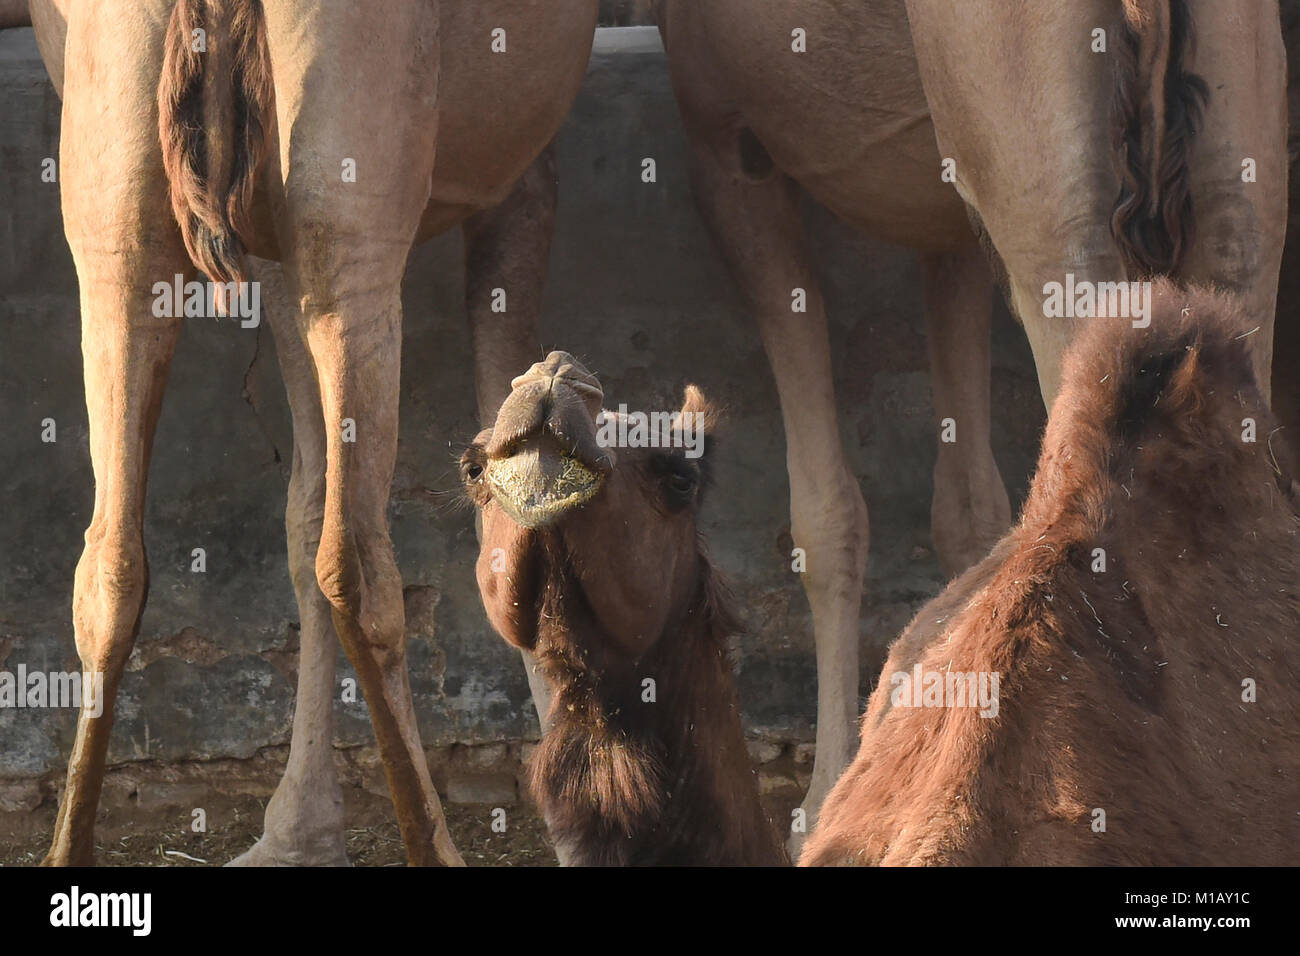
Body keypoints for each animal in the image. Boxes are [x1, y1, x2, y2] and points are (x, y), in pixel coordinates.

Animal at [29, 0, 598, 868]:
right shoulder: (520, 175)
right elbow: (515, 496)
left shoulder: (269, 253)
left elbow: (300, 508)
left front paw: (297, 829)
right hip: (352, 238)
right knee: (359, 563)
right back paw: (433, 844)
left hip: (118, 226)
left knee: (111, 564)